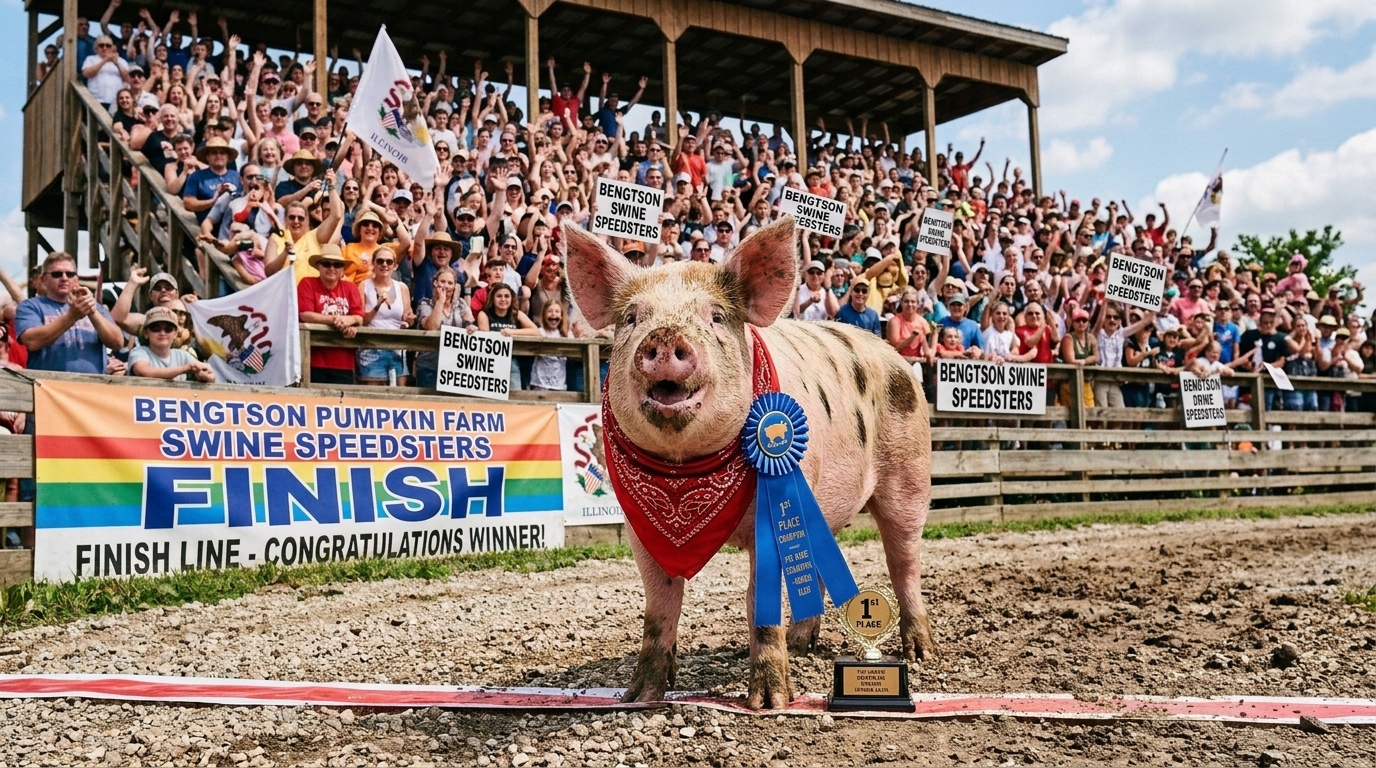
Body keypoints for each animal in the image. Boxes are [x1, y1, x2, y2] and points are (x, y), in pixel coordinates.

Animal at [565, 216, 935, 710]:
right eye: (631, 318)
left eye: (717, 316)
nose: (664, 336)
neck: (686, 470)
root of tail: (898, 358)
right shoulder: (640, 527)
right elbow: (660, 606)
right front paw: (638, 697)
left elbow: (759, 601)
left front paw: (771, 703)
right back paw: (802, 644)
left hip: (909, 473)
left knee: (904, 560)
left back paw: (921, 654)